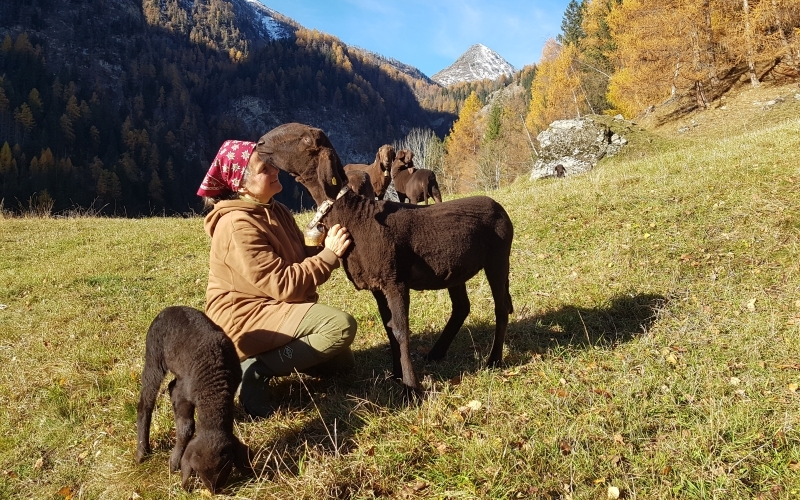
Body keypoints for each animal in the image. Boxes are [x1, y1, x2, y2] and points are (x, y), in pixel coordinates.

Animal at [136, 306, 251, 494]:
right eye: (197, 471)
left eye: (227, 468)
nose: (214, 491)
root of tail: (170, 308)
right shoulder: (185, 396)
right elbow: (186, 428)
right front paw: (174, 462)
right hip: (154, 355)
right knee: (146, 402)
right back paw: (142, 451)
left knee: (172, 386)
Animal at [255, 123, 514, 393]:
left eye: (304, 139)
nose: (259, 144)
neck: (356, 216)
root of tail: (497, 205)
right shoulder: (376, 285)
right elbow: (389, 329)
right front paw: (396, 375)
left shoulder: (393, 280)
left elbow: (401, 330)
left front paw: (411, 387)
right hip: (455, 270)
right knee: (462, 307)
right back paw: (436, 353)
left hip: (498, 259)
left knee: (500, 308)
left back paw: (493, 360)